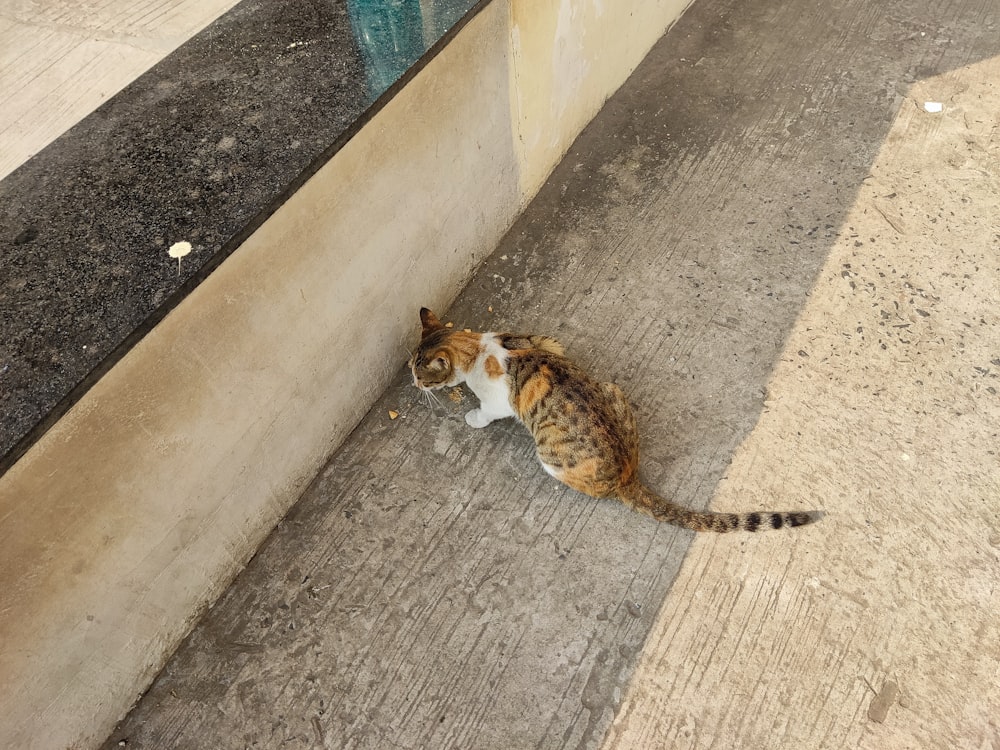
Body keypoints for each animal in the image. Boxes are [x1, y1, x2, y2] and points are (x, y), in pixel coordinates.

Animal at [410, 306, 824, 536]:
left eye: (420, 374)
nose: (412, 383)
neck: (478, 347)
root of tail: (627, 474)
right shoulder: (541, 339)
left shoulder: (498, 400)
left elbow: (487, 411)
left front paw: (472, 417)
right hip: (612, 389)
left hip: (549, 454)